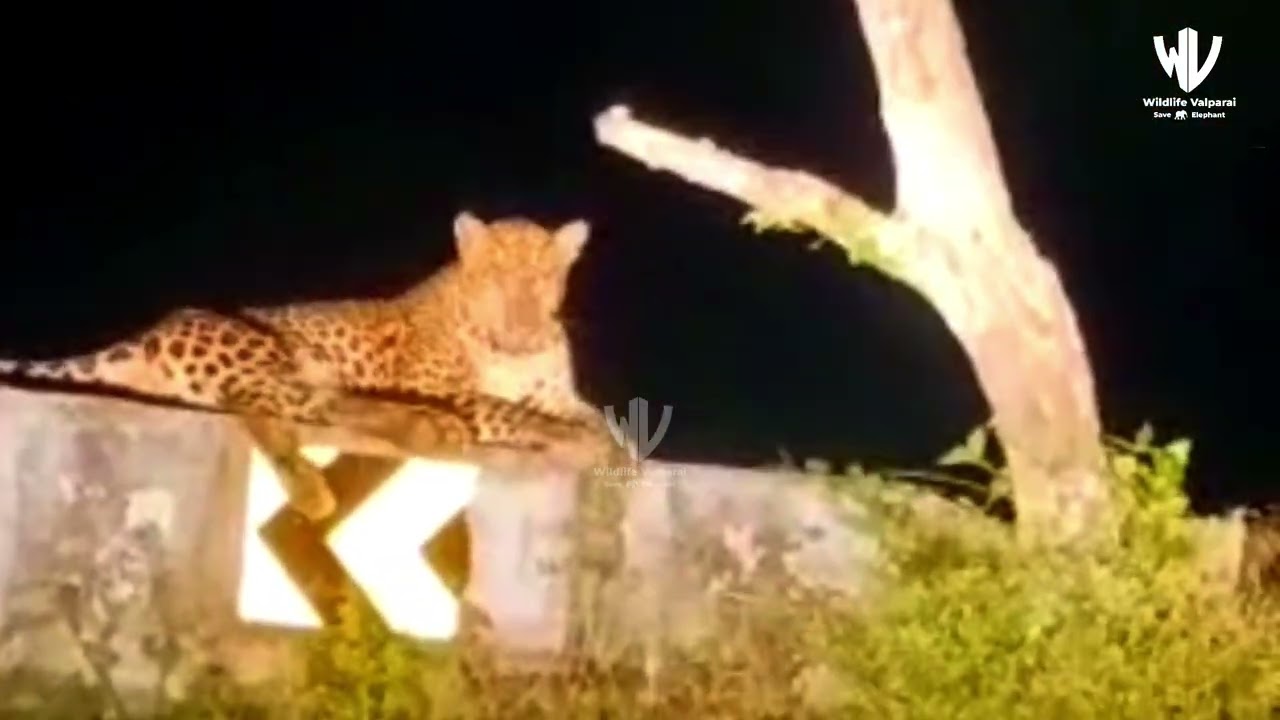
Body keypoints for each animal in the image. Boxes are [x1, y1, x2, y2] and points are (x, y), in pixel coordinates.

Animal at [0, 211, 627, 520]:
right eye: (494, 274)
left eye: (540, 277)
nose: (521, 322)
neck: (515, 351)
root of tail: (146, 335)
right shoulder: (442, 386)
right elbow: (513, 412)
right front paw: (580, 443)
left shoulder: (560, 393)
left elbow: (596, 416)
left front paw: (616, 446)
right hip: (262, 351)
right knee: (291, 403)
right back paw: (416, 431)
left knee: (276, 407)